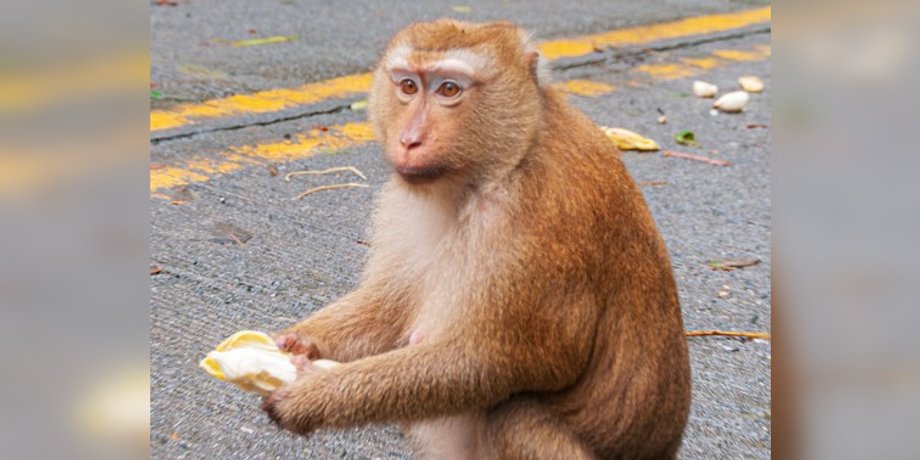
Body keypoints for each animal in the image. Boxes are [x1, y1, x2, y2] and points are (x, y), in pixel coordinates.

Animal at [262, 19, 691, 460]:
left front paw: (310, 396)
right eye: (409, 86)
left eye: (449, 90)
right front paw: (299, 342)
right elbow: (390, 307)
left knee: (516, 416)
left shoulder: (535, 224)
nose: (409, 139)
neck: (504, 164)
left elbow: (498, 362)